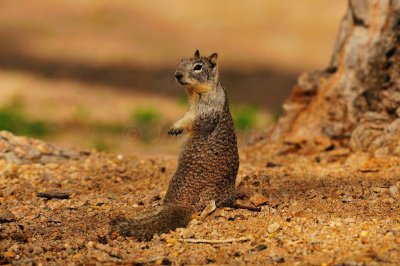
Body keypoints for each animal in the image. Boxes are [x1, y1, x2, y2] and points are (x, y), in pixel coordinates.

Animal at [110, 50, 238, 241]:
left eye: (198, 66)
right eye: (181, 61)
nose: (177, 75)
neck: (195, 92)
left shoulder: (206, 109)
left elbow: (192, 121)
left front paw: (176, 127)